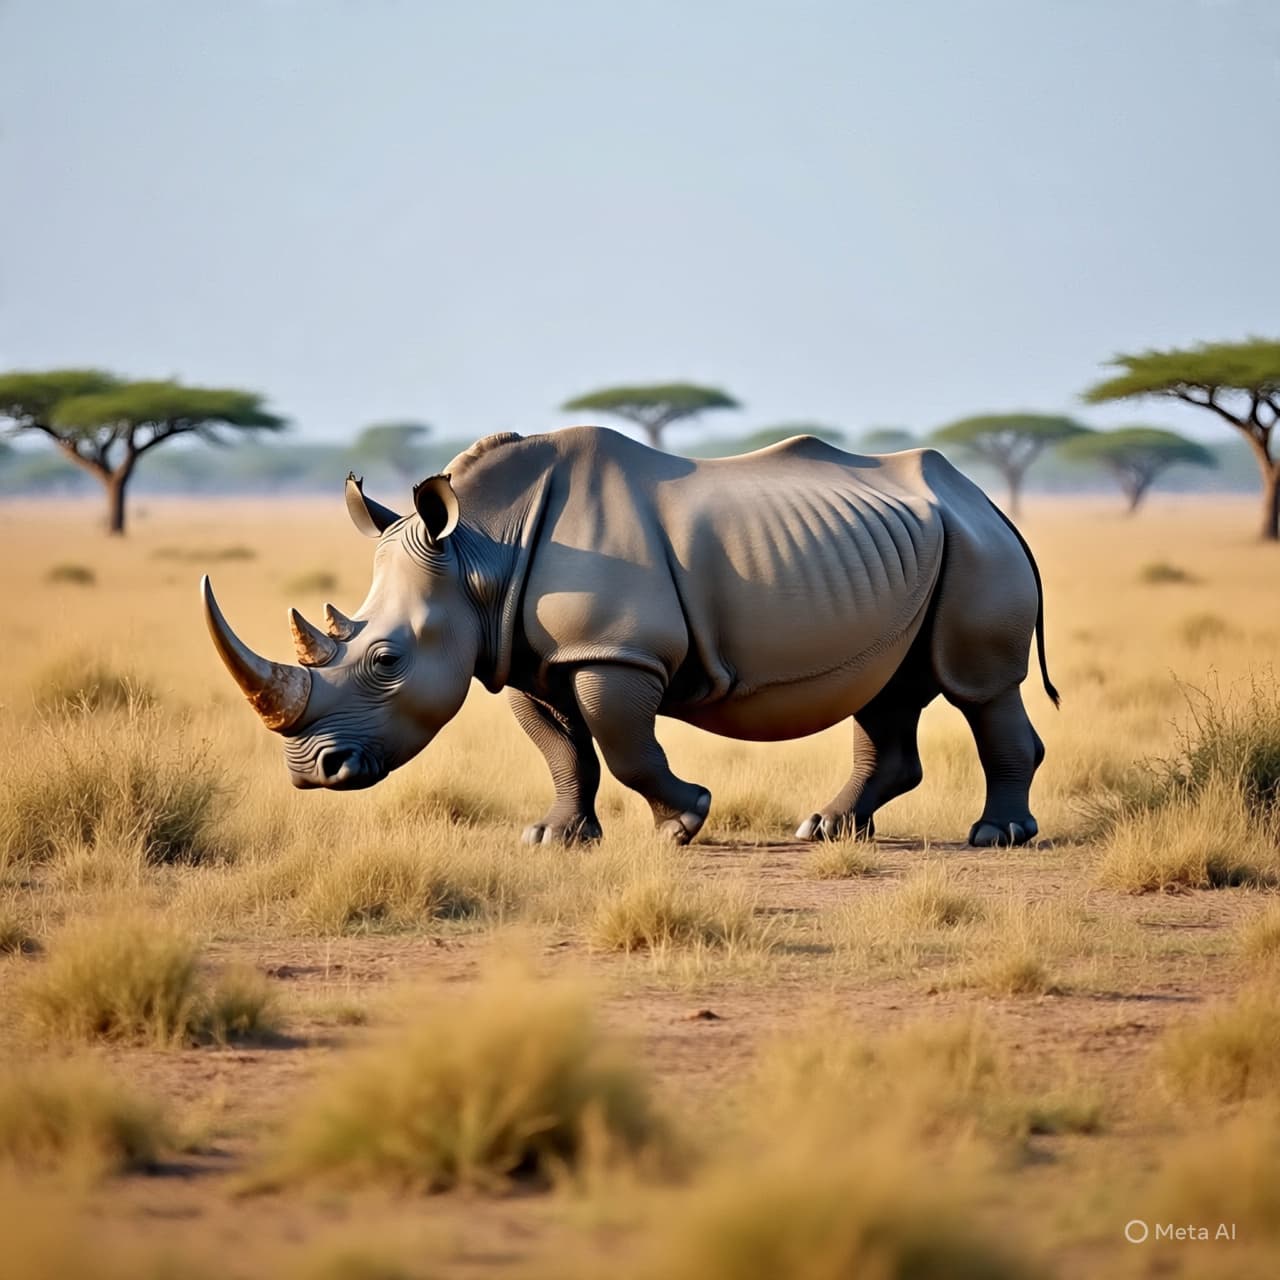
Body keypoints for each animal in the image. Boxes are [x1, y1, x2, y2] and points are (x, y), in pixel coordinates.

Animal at [202, 427, 1058, 847]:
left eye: (386, 659)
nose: (313, 774)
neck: (479, 552)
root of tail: (983, 496)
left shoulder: (614, 652)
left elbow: (622, 743)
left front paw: (685, 822)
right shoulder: (526, 656)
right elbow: (563, 749)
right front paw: (554, 838)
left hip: (976, 547)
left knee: (981, 688)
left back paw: (996, 836)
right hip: (920, 547)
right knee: (887, 687)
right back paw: (827, 830)